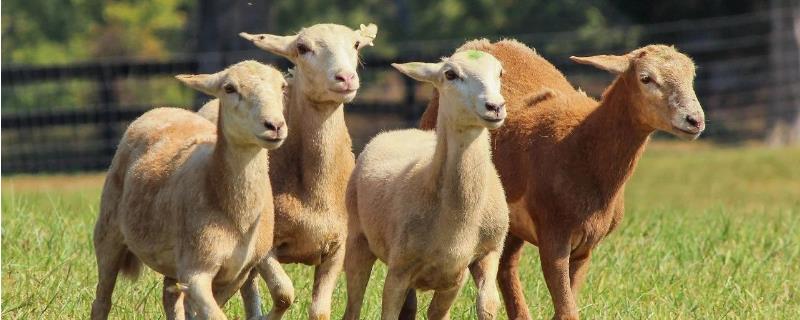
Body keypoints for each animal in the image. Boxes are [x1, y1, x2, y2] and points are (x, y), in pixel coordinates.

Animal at [197, 23, 378, 320]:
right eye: (302, 48)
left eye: (355, 44)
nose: (345, 78)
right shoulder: (265, 247)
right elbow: (284, 293)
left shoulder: (338, 246)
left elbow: (319, 311)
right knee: (249, 287)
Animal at [342, 50, 506, 320]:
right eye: (450, 74)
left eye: (500, 72)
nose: (495, 107)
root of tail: (400, 130)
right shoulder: (399, 270)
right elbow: (388, 312)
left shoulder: (483, 255)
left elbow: (486, 305)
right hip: (358, 238)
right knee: (354, 302)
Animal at [418, 40, 708, 320]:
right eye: (646, 78)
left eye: (691, 76)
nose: (694, 120)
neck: (583, 149)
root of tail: (483, 44)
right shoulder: (553, 237)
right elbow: (567, 310)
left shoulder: (585, 246)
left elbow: (566, 306)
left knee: (506, 266)